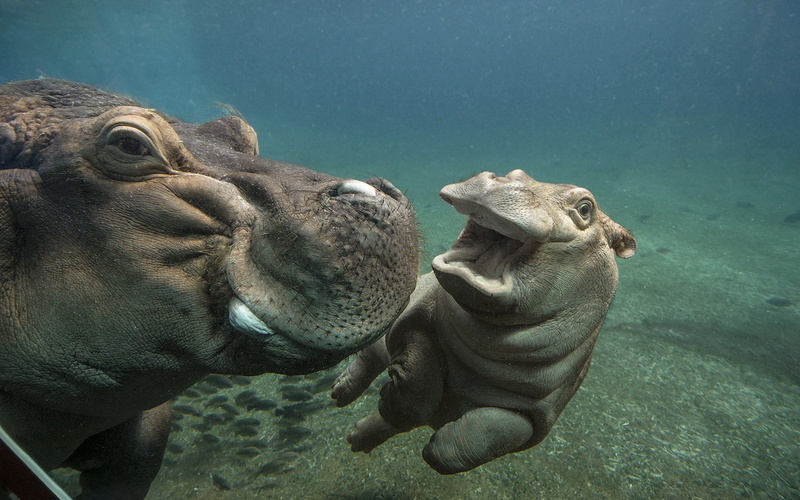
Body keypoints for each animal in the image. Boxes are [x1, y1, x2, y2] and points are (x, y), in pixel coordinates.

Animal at [332, 169, 635, 474]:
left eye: (585, 208)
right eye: (516, 173)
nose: (502, 180)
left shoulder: (538, 415)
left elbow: (496, 431)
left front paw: (432, 448)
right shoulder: (417, 322)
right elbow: (419, 386)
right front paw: (388, 397)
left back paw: (356, 437)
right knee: (370, 356)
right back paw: (340, 393)